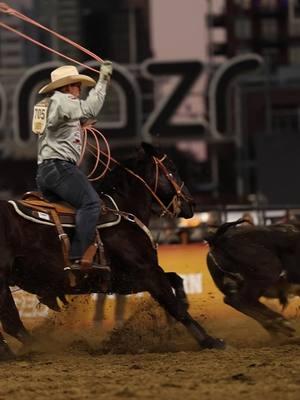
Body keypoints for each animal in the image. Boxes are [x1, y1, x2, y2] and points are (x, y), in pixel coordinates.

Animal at [0, 143, 224, 360]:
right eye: (172, 169)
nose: (191, 203)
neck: (124, 211)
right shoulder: (147, 272)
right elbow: (175, 306)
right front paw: (210, 341)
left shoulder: (127, 280)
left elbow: (176, 280)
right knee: (12, 322)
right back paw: (36, 349)